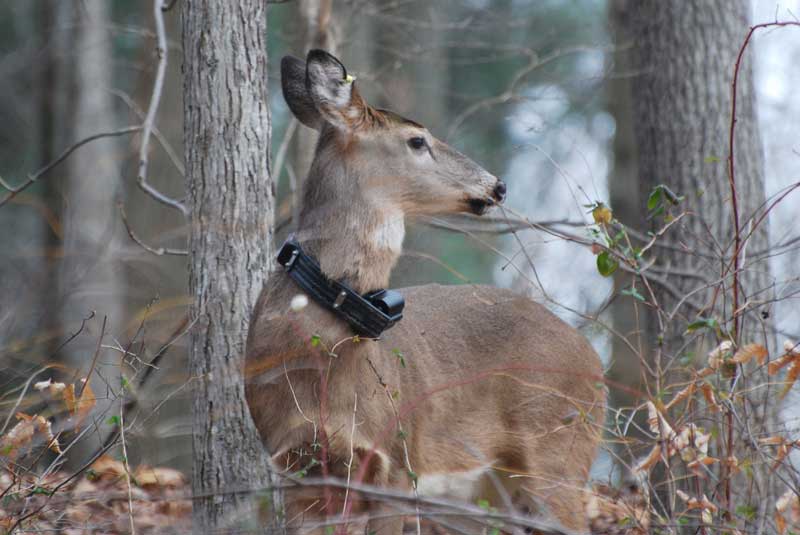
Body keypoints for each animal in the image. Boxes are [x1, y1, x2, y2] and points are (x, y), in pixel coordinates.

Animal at [245, 48, 608, 532]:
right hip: (487, 494)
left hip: (560, 454)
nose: (497, 185)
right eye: (417, 140)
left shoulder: (397, 460)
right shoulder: (295, 467)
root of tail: (594, 359)